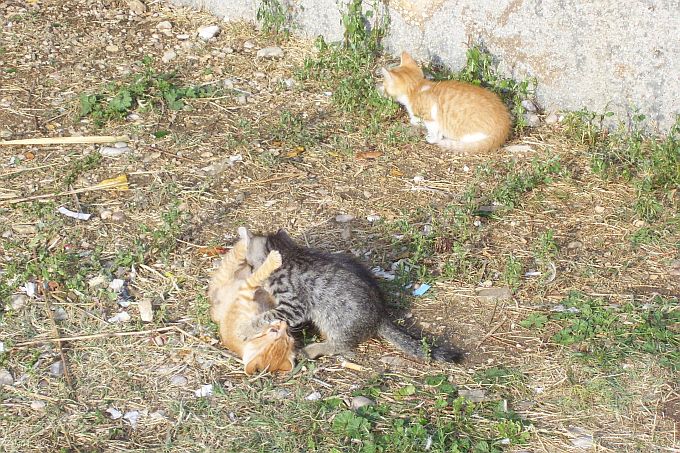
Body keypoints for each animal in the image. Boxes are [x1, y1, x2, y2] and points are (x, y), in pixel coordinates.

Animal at [209, 240, 296, 374]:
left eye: (288, 336)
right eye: (273, 330)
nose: (284, 324)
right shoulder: (246, 289)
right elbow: (258, 276)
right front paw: (273, 260)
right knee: (235, 257)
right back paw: (244, 242)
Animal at [238, 228, 462, 362]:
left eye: (249, 264)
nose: (247, 274)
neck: (289, 254)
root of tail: (380, 316)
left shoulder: (293, 306)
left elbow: (268, 315)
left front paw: (247, 328)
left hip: (335, 319)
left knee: (340, 345)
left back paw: (313, 349)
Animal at [380, 51, 512, 153]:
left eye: (385, 86)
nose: (382, 91)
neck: (417, 88)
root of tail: (503, 126)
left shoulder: (430, 117)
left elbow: (434, 131)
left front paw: (432, 138)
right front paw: (415, 119)